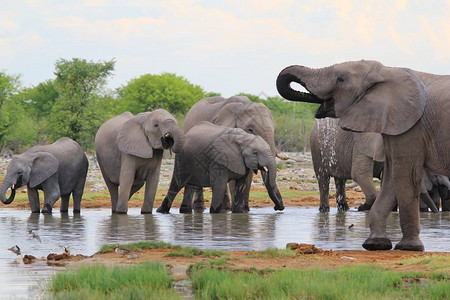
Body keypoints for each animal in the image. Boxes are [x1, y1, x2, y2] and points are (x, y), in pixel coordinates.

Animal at [276, 60, 450, 251]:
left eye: (340, 79)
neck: (386, 72)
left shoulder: (408, 127)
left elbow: (397, 175)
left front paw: (397, 245)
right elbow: (379, 175)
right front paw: (380, 241)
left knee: (339, 180)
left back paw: (343, 208)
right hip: (316, 147)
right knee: (324, 178)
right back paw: (327, 210)